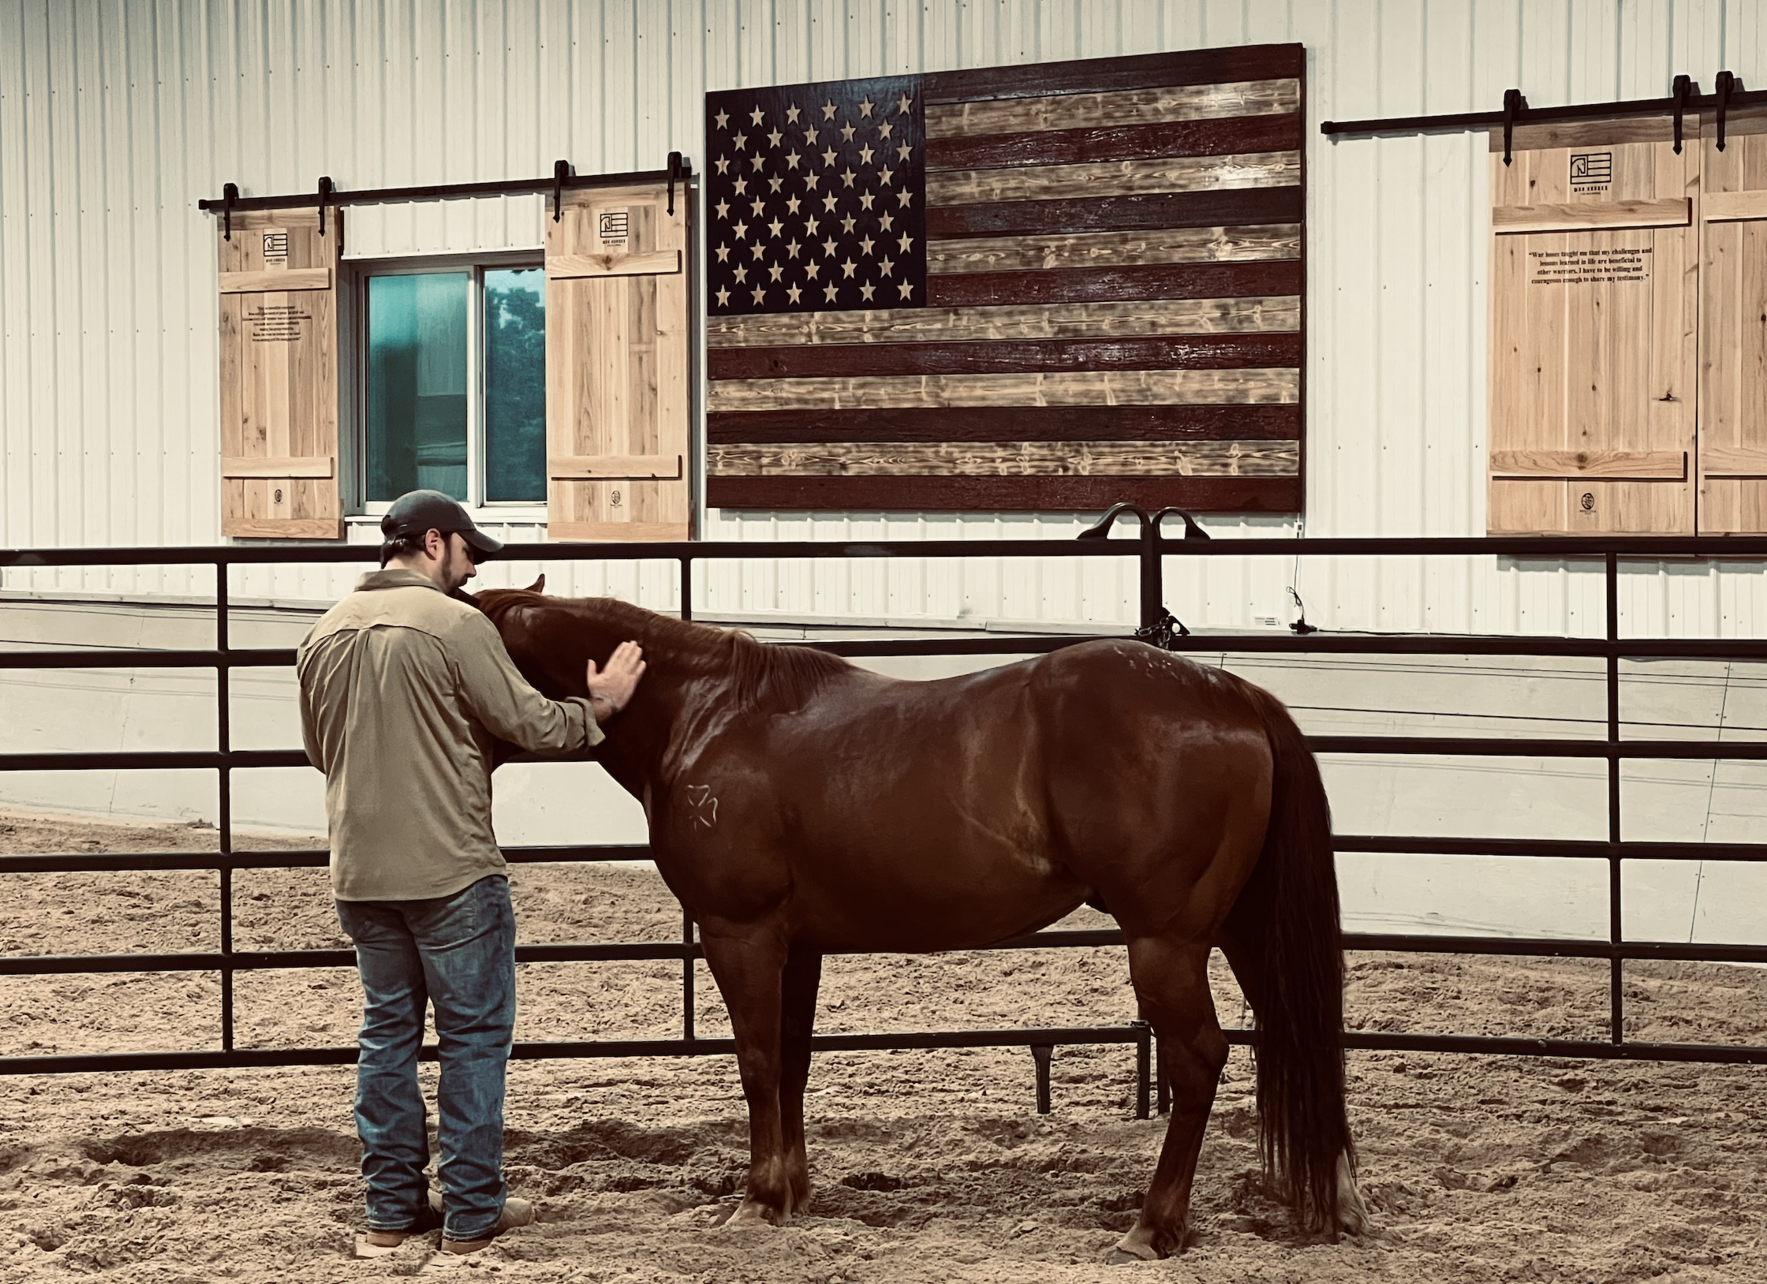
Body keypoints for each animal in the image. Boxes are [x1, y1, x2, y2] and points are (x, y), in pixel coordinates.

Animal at [473, 582, 1367, 1260]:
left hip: (1165, 943)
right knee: (1300, 1034)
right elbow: (792, 1065)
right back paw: (1336, 1205)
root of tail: (1231, 694)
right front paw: (794, 1194)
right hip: (1244, 929)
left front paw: (757, 1201)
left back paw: (1153, 1226)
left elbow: (757, 1063)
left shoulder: (742, 933)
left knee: (1197, 1060)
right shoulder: (799, 946)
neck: (705, 715)